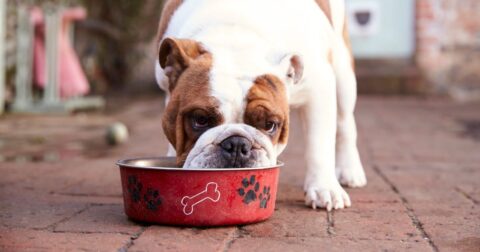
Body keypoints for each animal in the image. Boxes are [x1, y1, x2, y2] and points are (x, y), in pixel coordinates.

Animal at [156, 0, 366, 211]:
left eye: (270, 125)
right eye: (200, 119)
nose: (237, 144)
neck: (236, 39)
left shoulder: (319, 89)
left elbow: (319, 145)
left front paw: (324, 188)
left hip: (343, 74)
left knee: (345, 123)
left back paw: (350, 170)